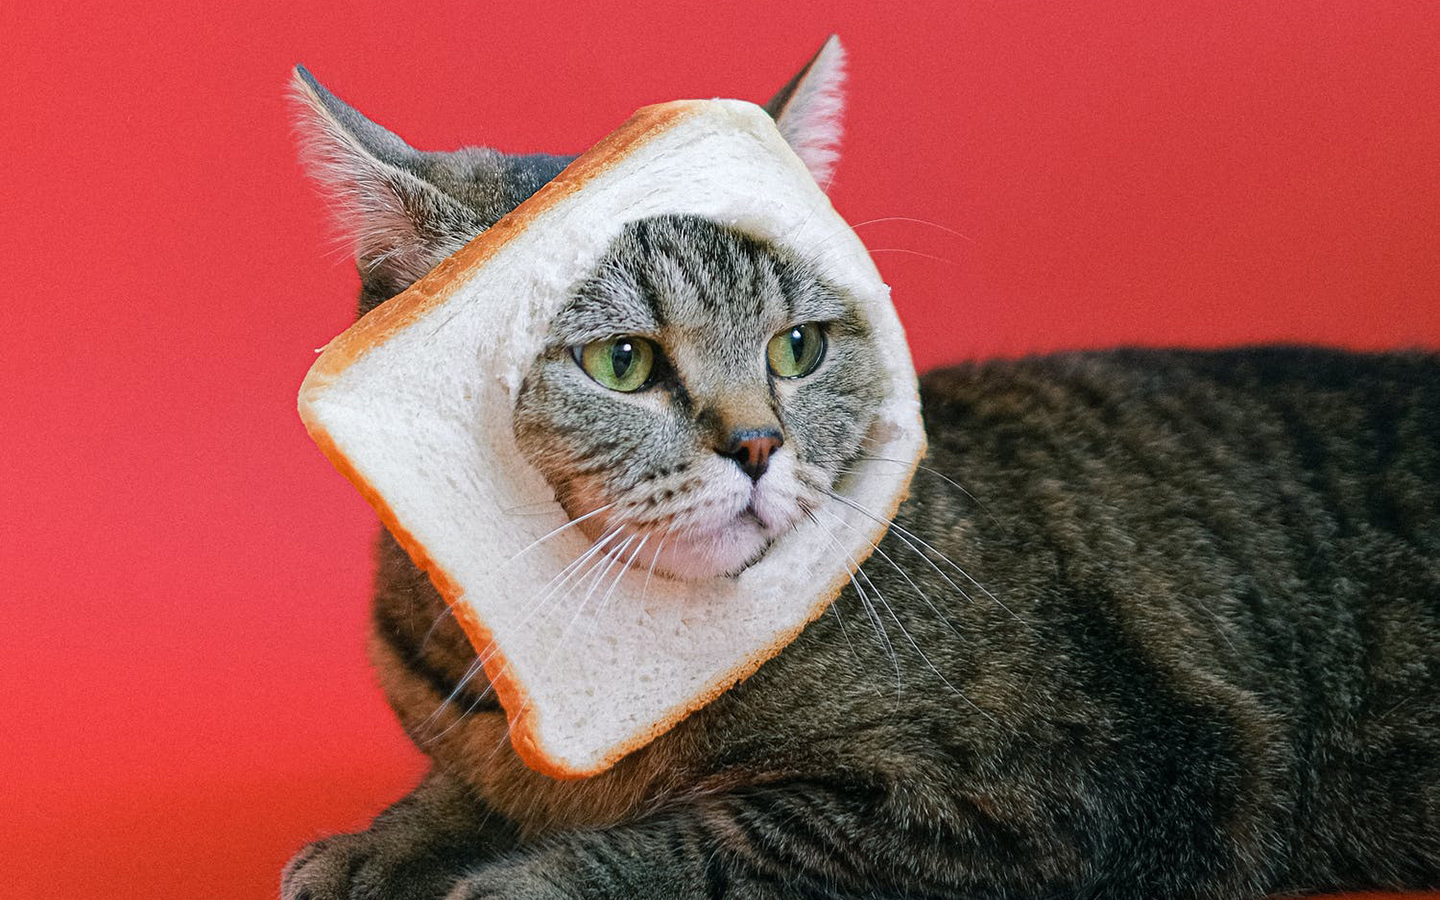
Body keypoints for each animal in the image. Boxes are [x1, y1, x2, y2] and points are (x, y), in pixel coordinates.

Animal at [283, 36, 1440, 898]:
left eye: (797, 348)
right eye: (622, 363)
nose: (758, 445)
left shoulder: (1081, 777)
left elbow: (704, 846)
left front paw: (517, 879)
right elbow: (460, 795)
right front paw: (382, 843)